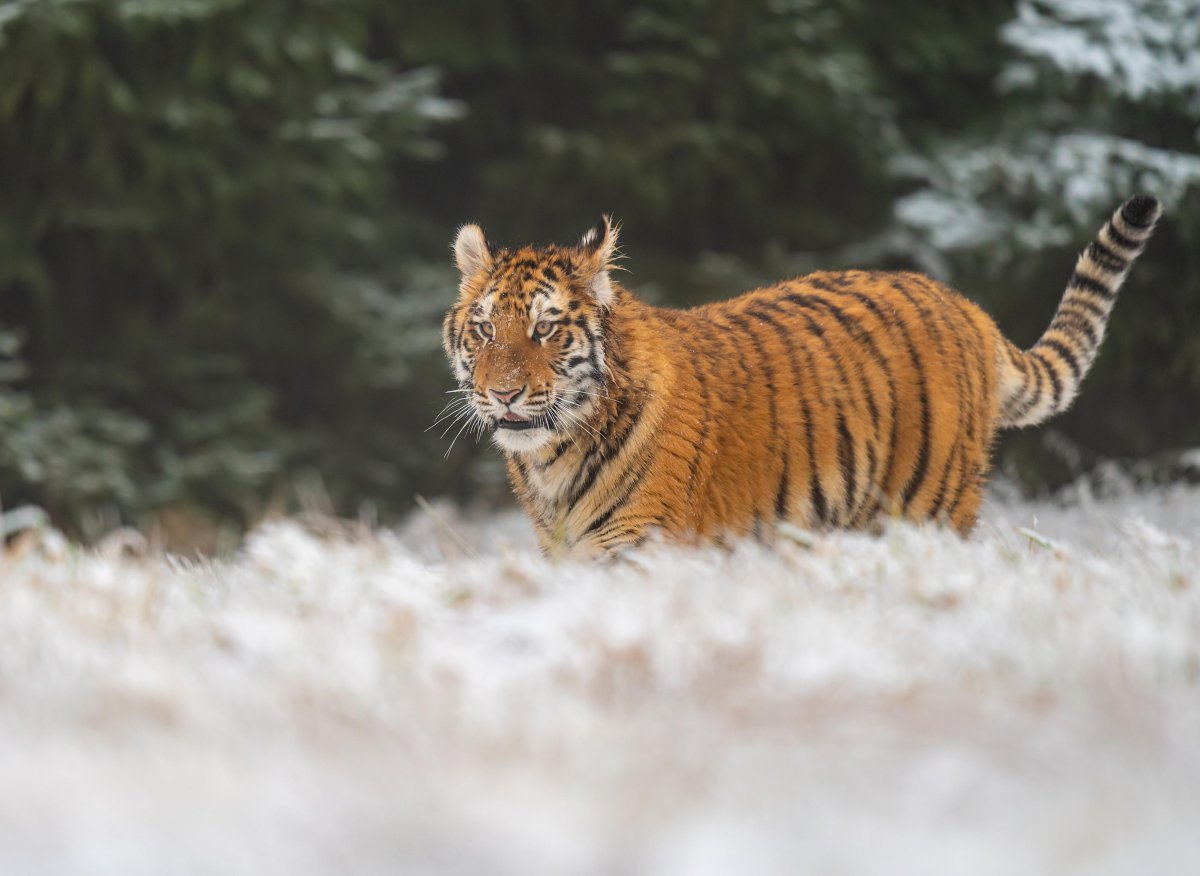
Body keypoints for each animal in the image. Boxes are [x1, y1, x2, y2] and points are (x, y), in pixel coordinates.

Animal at [441, 195, 1161, 556]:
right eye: (485, 330)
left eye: (546, 329)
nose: (502, 393)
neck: (553, 460)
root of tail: (968, 309)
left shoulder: (639, 548)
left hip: (926, 510)